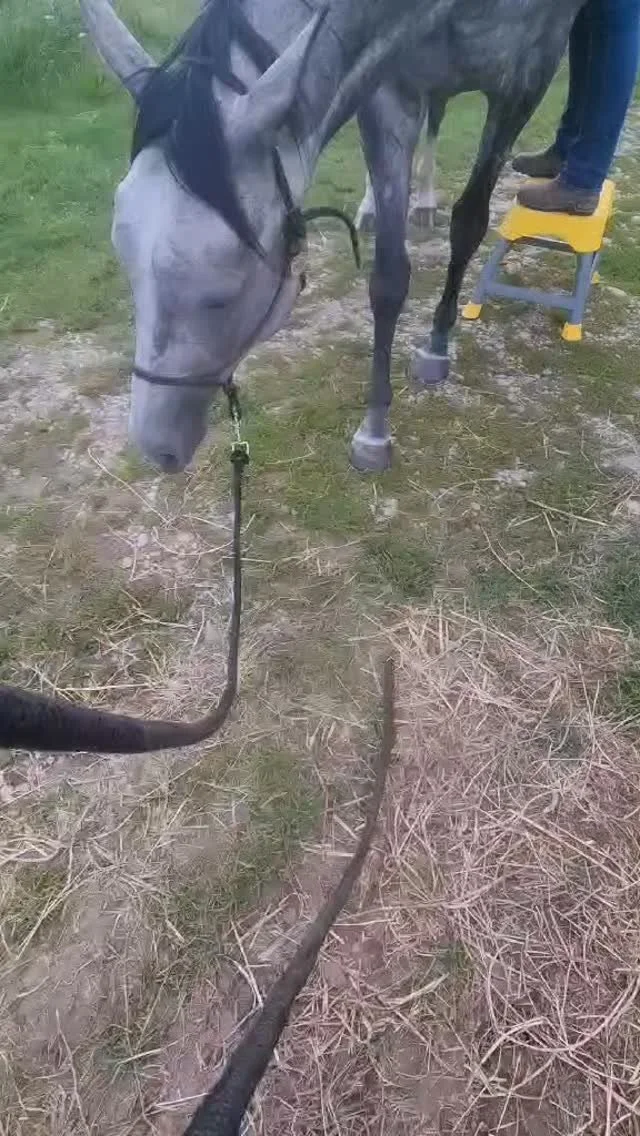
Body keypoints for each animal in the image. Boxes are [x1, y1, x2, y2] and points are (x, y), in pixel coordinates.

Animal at [79, 0, 579, 476]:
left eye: (223, 295)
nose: (155, 447)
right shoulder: (387, 88)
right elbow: (389, 278)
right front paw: (375, 429)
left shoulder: (528, 76)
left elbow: (470, 223)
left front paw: (436, 344)